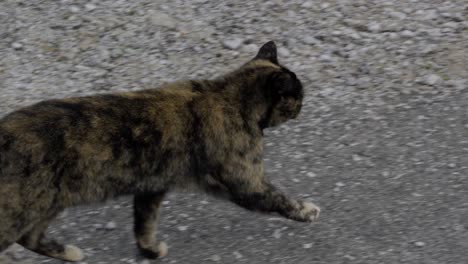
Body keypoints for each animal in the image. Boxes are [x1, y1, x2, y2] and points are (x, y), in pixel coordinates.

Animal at [0, 41, 318, 262]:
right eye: (298, 94)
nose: (304, 104)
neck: (230, 97)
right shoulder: (246, 183)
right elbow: (280, 199)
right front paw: (307, 211)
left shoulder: (152, 187)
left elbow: (144, 225)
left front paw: (150, 251)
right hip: (19, 212)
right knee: (23, 235)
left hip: (50, 203)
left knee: (30, 237)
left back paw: (69, 253)